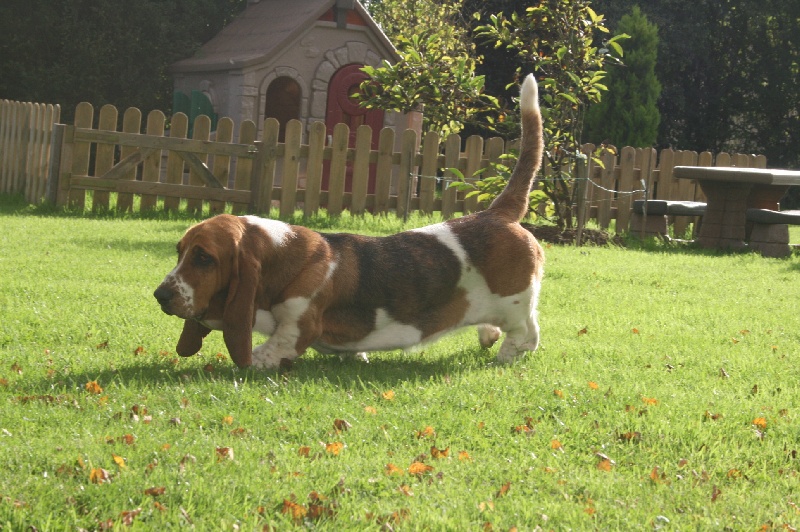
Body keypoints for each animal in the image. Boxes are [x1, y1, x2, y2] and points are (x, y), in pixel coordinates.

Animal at [152, 74, 544, 370]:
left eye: (204, 258)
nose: (160, 295)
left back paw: (506, 354)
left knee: (528, 333)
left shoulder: (296, 330)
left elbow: (263, 353)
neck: (284, 258)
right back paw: (488, 336)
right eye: (180, 252)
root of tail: (496, 212)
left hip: (515, 303)